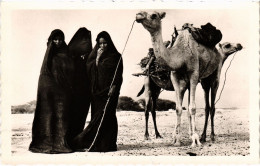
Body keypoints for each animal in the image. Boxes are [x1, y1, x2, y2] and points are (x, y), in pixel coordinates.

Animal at [136, 10, 240, 147]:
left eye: (154, 15)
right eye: (228, 45)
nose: (138, 15)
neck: (181, 55)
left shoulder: (193, 76)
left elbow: (191, 108)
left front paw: (193, 139)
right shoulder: (175, 77)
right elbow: (179, 108)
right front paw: (178, 139)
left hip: (212, 79)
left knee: (211, 106)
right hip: (150, 85)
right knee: (148, 109)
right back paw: (149, 135)